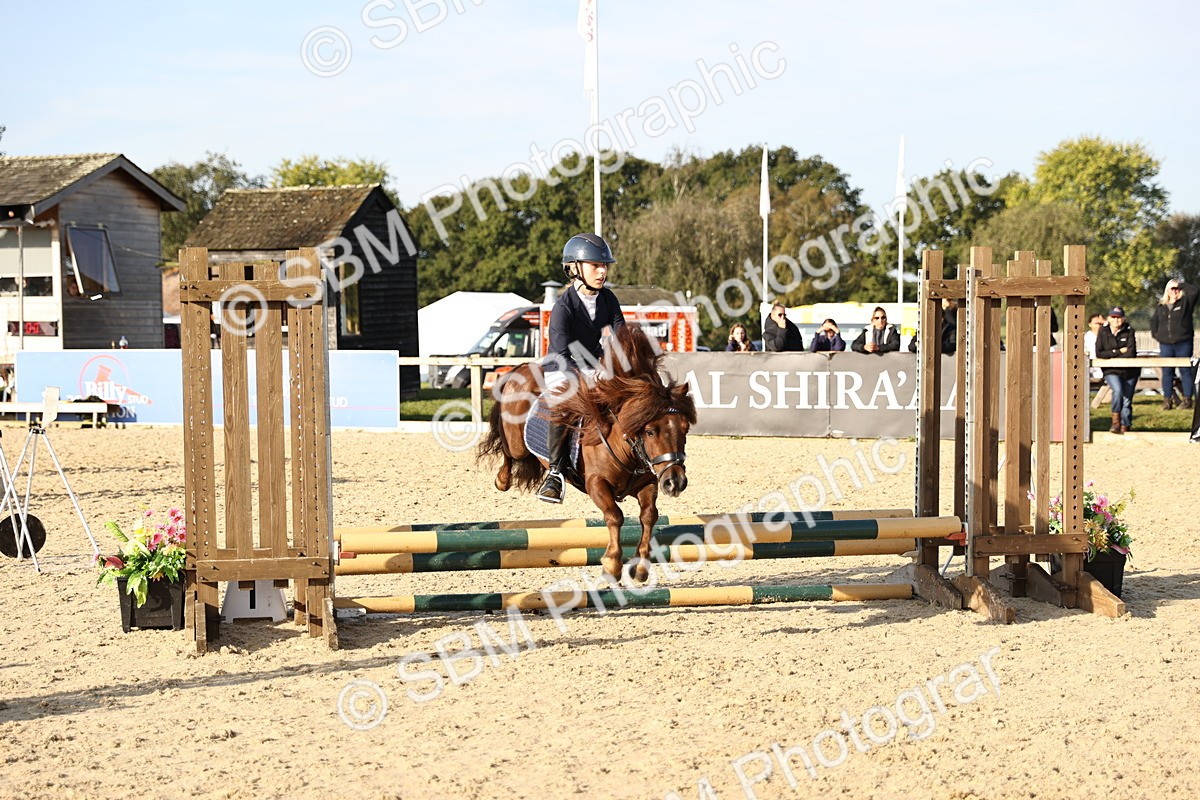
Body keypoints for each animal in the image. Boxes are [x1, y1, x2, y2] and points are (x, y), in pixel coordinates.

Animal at [477, 324, 697, 583]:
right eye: (650, 431)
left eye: (685, 428)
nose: (675, 482)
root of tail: (522, 367)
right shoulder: (596, 483)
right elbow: (615, 515)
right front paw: (612, 565)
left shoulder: (648, 484)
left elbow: (649, 515)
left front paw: (641, 567)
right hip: (516, 443)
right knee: (509, 451)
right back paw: (503, 480)